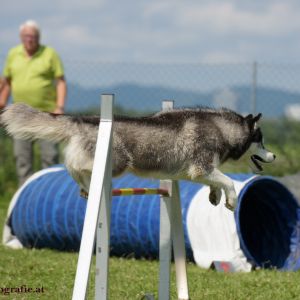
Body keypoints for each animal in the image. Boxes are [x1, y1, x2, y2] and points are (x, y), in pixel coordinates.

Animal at [0, 103, 276, 211]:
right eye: (261, 141)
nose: (273, 155)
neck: (222, 129)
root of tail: (82, 119)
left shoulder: (198, 171)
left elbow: (217, 180)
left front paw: (215, 196)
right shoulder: (201, 167)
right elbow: (228, 180)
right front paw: (232, 200)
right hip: (117, 163)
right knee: (74, 166)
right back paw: (88, 185)